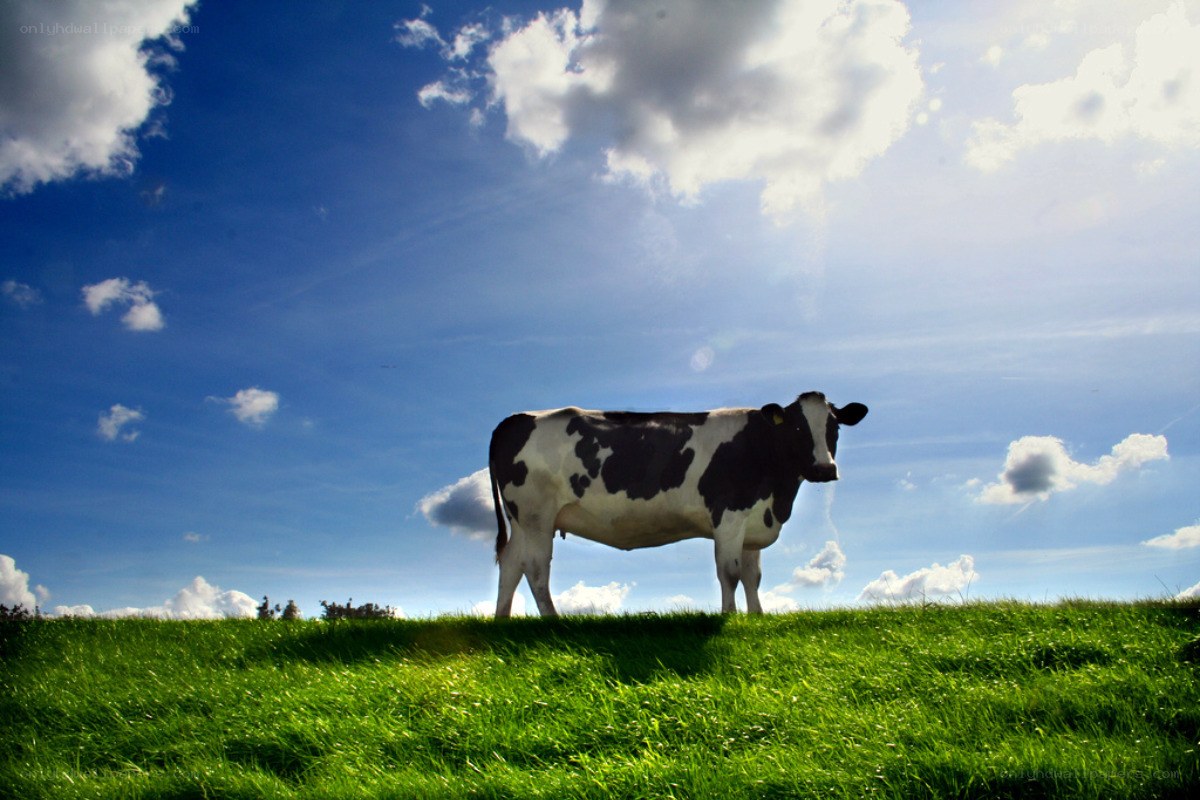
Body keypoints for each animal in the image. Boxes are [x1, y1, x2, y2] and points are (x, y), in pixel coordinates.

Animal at [487, 391, 868, 618]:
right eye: (798, 428)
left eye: (834, 427)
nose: (824, 469)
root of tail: (517, 418)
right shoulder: (729, 516)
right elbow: (729, 573)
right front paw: (730, 618)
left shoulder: (754, 521)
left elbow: (752, 576)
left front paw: (756, 618)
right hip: (537, 515)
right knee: (536, 568)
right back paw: (552, 620)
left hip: (522, 519)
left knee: (511, 563)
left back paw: (503, 620)